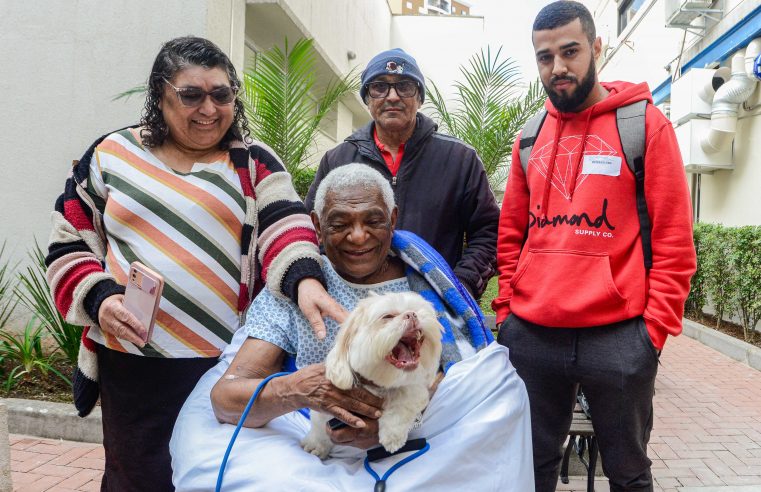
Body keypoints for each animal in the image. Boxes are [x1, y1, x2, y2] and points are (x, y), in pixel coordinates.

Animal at [302, 290, 446, 460]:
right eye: (387, 316)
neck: (381, 384)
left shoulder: (415, 387)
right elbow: (319, 427)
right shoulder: (326, 409)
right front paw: (316, 444)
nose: (412, 314)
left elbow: (404, 402)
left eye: (417, 310)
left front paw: (392, 436)